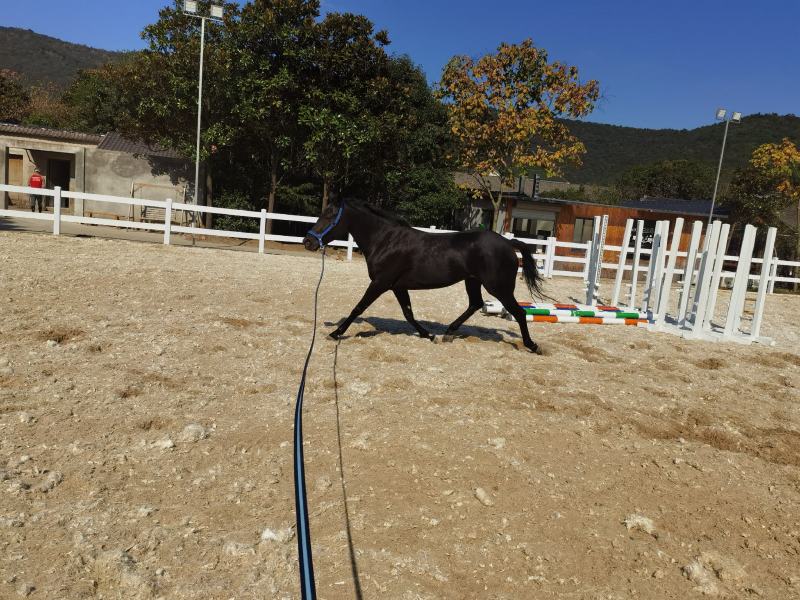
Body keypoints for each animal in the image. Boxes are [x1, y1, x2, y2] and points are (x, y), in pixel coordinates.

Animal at [303, 198, 544, 354]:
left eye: (329, 216)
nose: (308, 241)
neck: (386, 240)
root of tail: (508, 243)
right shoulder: (397, 286)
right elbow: (408, 313)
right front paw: (428, 335)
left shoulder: (380, 283)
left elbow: (358, 308)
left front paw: (335, 333)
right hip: (473, 281)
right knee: (475, 304)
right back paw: (448, 333)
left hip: (499, 287)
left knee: (519, 312)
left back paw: (532, 346)